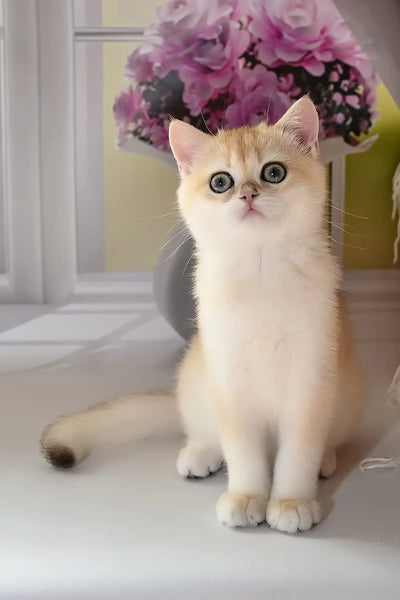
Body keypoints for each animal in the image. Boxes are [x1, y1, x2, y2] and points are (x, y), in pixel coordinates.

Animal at [41, 96, 365, 533]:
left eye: (273, 173)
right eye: (221, 182)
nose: (248, 195)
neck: (260, 269)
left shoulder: (310, 380)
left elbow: (298, 452)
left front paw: (291, 502)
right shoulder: (228, 378)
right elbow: (242, 450)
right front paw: (246, 497)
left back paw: (326, 461)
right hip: (196, 377)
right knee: (201, 429)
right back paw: (199, 455)